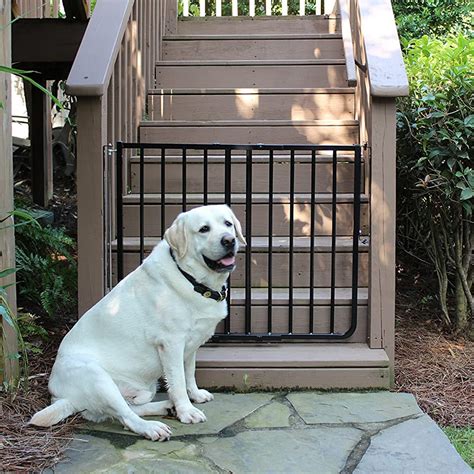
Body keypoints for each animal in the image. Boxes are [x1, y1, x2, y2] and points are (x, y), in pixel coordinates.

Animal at [30, 206, 244, 442]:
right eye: (204, 229)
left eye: (228, 224)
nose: (229, 240)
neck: (192, 279)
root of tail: (61, 398)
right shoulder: (171, 344)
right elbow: (178, 381)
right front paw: (187, 411)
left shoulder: (191, 345)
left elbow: (189, 373)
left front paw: (195, 395)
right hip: (98, 378)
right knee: (126, 416)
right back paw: (152, 427)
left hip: (142, 389)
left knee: (128, 408)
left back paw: (165, 407)